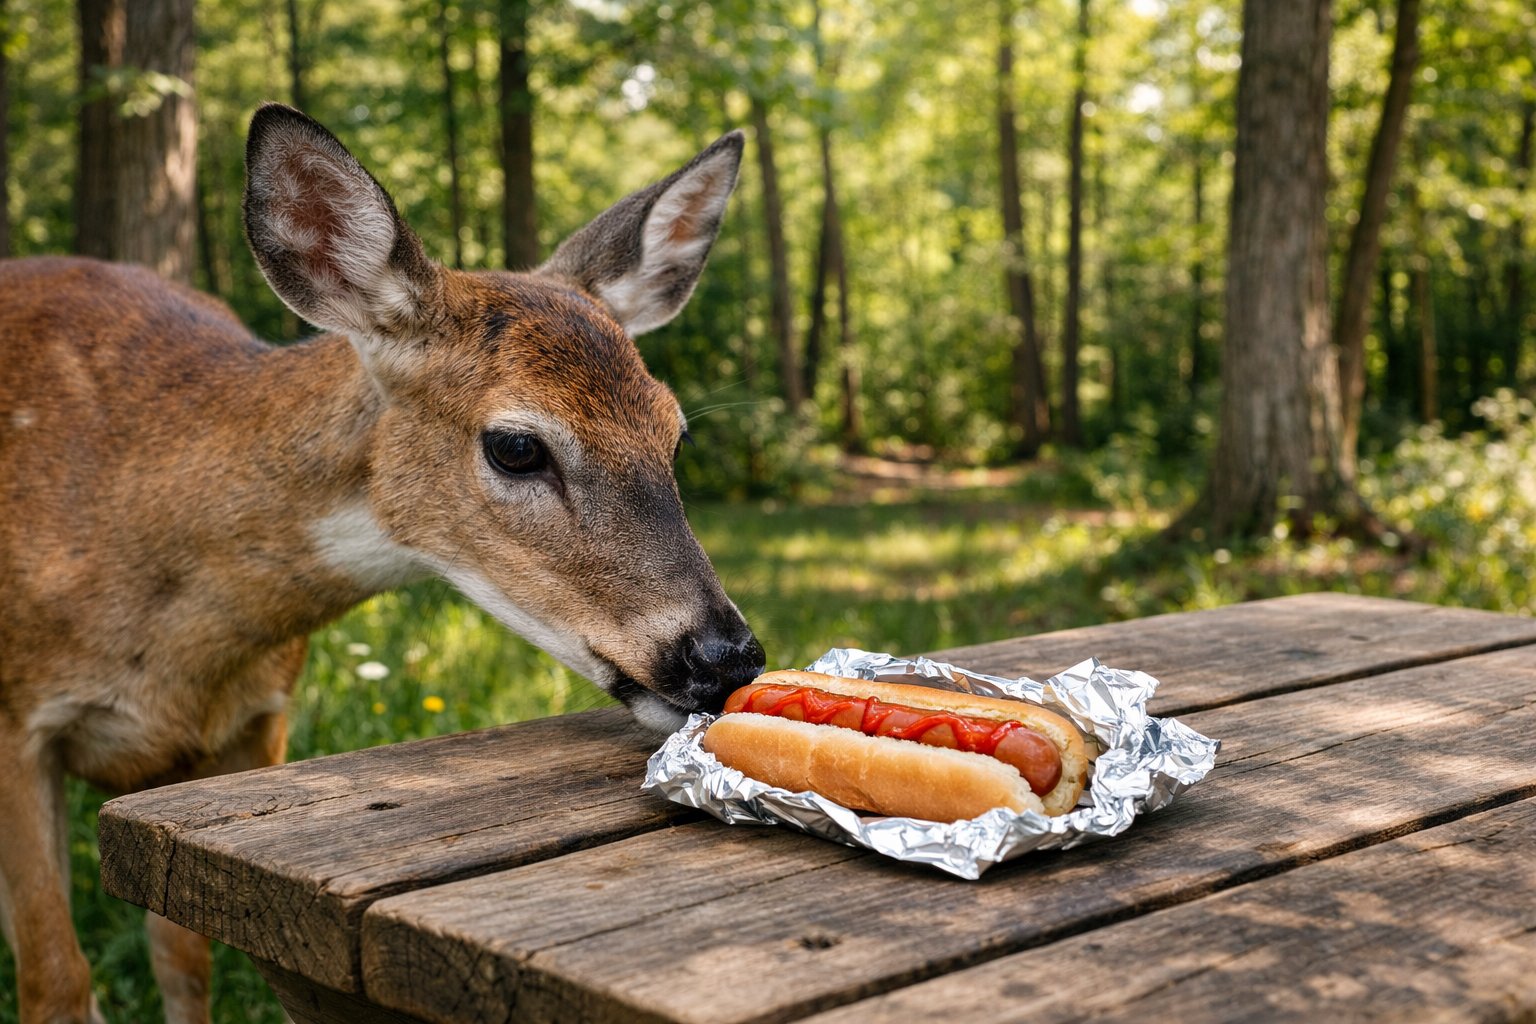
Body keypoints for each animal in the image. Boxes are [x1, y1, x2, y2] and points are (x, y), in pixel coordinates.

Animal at [0, 104, 765, 1024]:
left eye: (673, 435)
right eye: (516, 446)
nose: (725, 654)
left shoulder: (259, 723)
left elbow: (186, 953)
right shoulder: (14, 725)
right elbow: (54, 979)